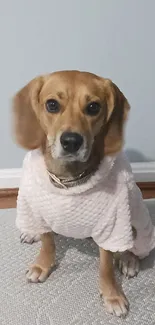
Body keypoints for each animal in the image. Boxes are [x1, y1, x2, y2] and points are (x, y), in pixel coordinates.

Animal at [12, 71, 154, 316]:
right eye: (52, 104)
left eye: (93, 107)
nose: (71, 141)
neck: (68, 181)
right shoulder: (40, 212)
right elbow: (47, 242)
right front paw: (42, 264)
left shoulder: (111, 226)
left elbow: (106, 266)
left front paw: (112, 294)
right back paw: (30, 233)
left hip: (135, 211)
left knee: (133, 243)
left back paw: (129, 260)